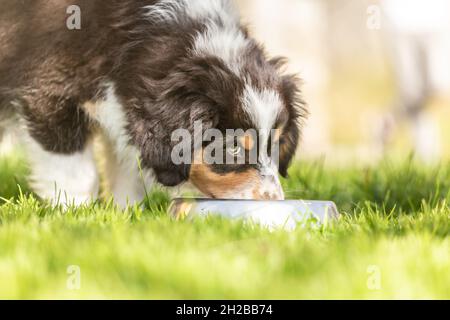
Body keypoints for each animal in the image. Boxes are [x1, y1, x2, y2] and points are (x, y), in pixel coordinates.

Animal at [0, 0, 306, 206]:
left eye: (277, 144)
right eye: (231, 149)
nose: (273, 200)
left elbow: (129, 165)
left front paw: (124, 215)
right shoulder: (50, 88)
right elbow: (78, 173)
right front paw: (75, 215)